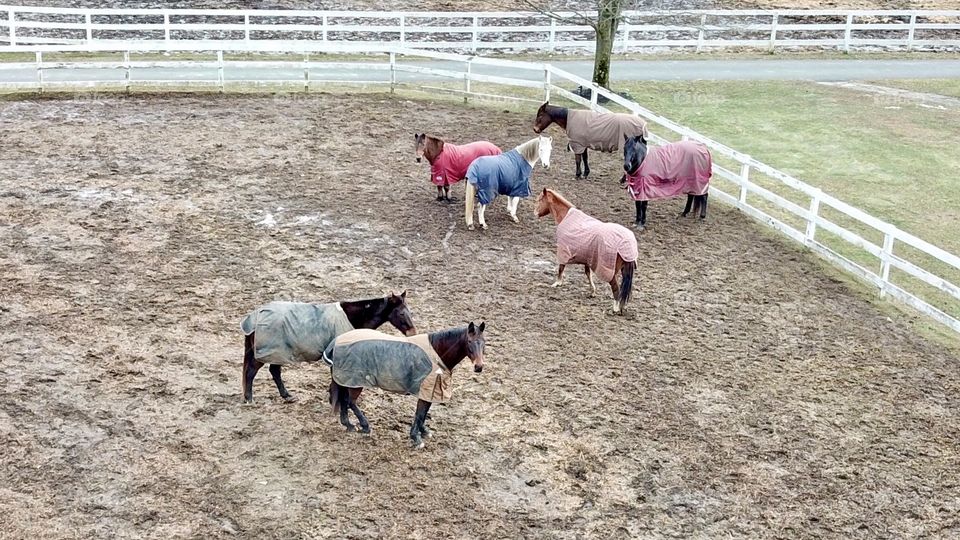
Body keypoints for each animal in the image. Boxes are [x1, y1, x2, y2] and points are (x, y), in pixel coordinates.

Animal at [238, 292, 414, 400]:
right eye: (401, 313)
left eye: (409, 311)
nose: (413, 332)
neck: (352, 319)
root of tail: (256, 316)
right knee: (251, 372)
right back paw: (249, 398)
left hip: (278, 353)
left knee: (274, 372)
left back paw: (286, 395)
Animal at [324, 322, 488, 450]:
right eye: (469, 341)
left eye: (483, 342)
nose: (479, 367)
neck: (435, 355)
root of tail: (336, 341)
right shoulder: (424, 390)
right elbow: (420, 413)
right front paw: (416, 438)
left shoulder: (429, 391)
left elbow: (423, 413)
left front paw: (424, 432)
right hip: (355, 382)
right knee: (351, 402)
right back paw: (365, 426)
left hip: (347, 381)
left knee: (344, 400)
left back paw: (349, 425)